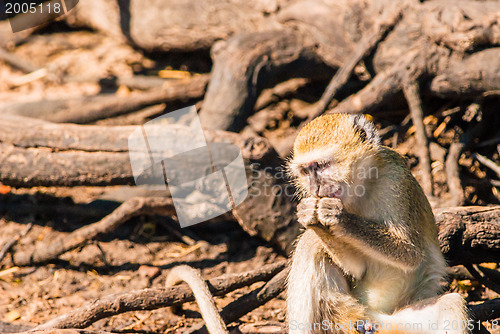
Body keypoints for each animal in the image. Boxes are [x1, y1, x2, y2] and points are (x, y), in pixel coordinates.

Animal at [288, 114, 466, 334]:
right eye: (305, 171)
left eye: (322, 165)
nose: (315, 187)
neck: (362, 187)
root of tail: (378, 315)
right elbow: (357, 268)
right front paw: (310, 217)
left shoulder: (395, 179)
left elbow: (411, 254)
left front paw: (338, 217)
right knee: (310, 244)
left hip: (398, 321)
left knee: (451, 304)